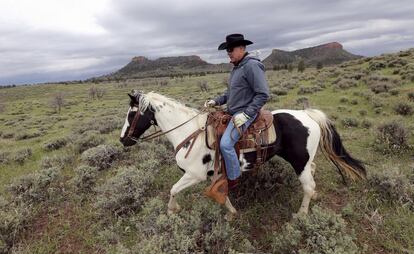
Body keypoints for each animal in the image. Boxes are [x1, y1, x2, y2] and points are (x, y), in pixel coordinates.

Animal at [119, 91, 366, 216]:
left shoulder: (194, 175)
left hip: (299, 162)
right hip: (304, 161)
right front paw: (231, 211)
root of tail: (308, 114)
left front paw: (172, 210)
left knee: (308, 186)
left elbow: (173, 190)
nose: (123, 140)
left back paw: (302, 214)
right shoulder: (216, 174)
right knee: (312, 175)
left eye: (132, 113)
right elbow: (222, 194)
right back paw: (313, 198)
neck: (189, 132)